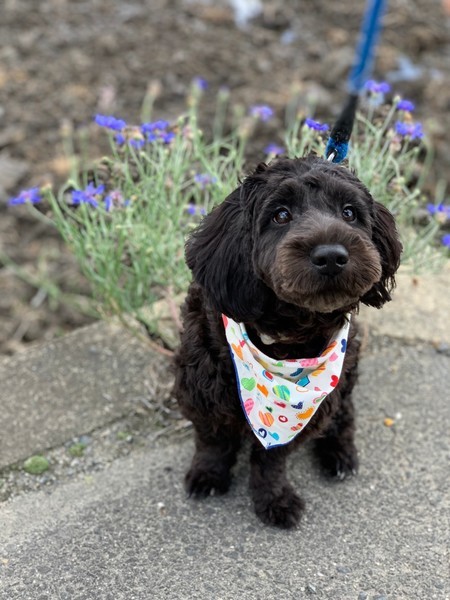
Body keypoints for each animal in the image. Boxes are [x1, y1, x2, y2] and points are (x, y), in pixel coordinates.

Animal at [174, 155, 402, 528]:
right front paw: (208, 474)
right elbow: (212, 440)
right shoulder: (201, 390)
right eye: (281, 215)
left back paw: (340, 454)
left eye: (349, 213)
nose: (331, 256)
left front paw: (273, 499)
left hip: (344, 377)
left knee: (344, 417)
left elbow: (270, 461)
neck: (285, 339)